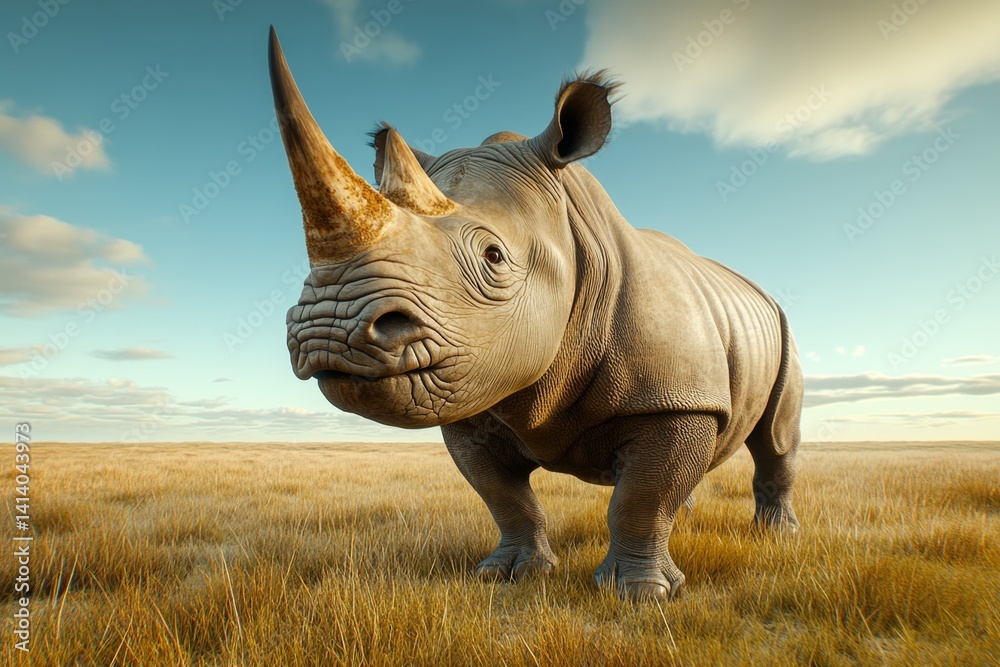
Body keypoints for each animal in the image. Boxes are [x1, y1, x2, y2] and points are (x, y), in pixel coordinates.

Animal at [268, 27, 802, 601]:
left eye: (493, 257)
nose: (329, 330)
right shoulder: (475, 391)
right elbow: (504, 497)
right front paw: (510, 574)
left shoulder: (678, 398)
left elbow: (641, 497)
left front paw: (639, 595)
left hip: (782, 329)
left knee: (776, 437)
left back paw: (777, 538)